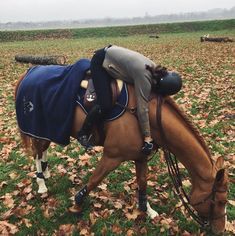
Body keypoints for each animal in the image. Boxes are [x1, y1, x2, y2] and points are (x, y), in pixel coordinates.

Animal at [14, 73, 228, 233]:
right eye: (219, 201)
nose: (221, 230)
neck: (144, 115)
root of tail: (28, 74)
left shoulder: (141, 158)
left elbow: (142, 183)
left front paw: (147, 210)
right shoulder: (112, 157)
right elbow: (94, 181)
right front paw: (77, 203)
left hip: (49, 129)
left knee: (42, 152)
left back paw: (46, 173)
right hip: (39, 129)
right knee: (37, 153)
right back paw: (41, 184)